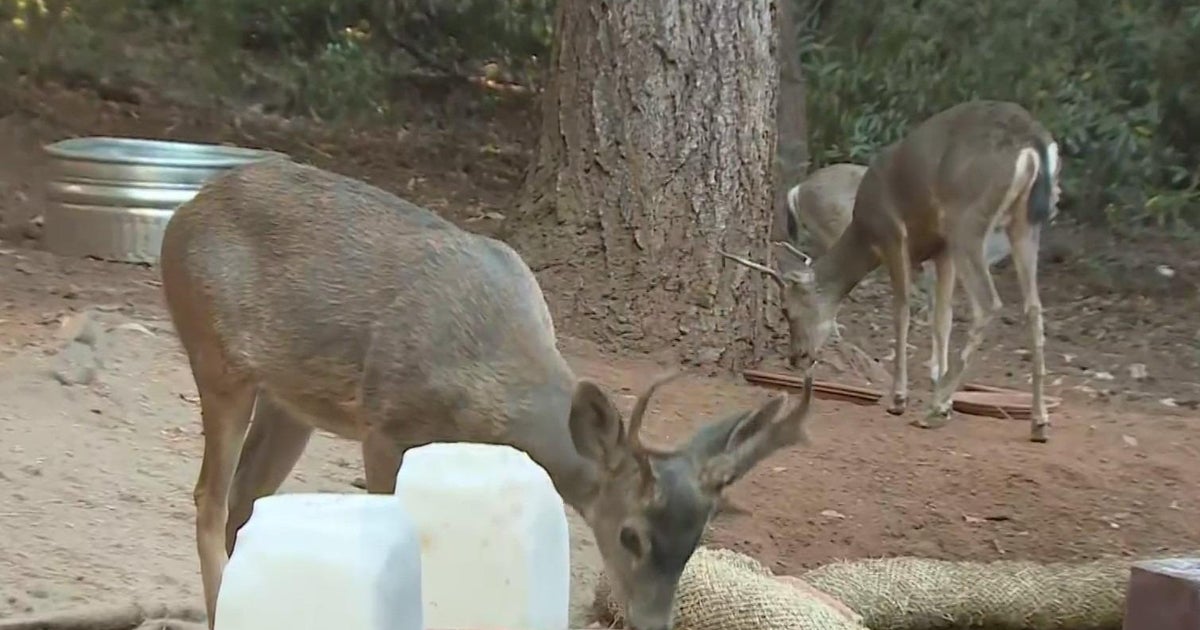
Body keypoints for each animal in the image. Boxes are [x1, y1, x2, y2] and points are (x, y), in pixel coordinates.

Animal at [159, 157, 816, 630]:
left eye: (695, 541)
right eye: (631, 535)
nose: (653, 623)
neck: (487, 379)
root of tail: (183, 212)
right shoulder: (383, 418)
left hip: (290, 402)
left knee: (244, 500)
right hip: (216, 357)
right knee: (208, 498)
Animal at [723, 100, 1060, 442]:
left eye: (787, 309)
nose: (796, 357)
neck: (864, 232)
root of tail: (1032, 140)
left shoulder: (892, 234)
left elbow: (902, 310)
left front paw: (901, 398)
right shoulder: (941, 252)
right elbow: (942, 318)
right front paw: (942, 391)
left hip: (966, 217)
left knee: (988, 303)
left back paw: (934, 411)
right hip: (1021, 225)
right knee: (1034, 308)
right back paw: (1038, 421)